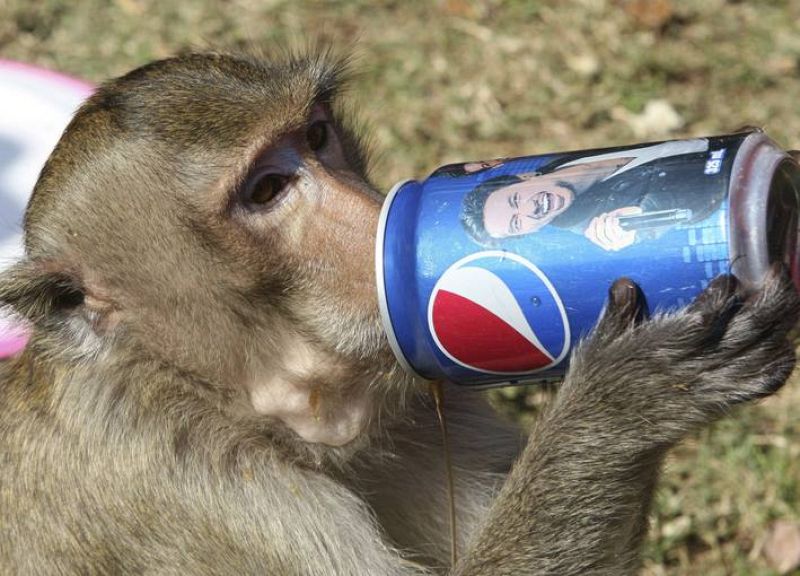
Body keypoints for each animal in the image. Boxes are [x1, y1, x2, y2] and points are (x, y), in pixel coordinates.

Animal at [0, 49, 797, 575]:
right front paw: (627, 397)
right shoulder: (204, 496)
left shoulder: (417, 398)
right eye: (265, 191)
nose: (378, 217)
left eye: (317, 137)